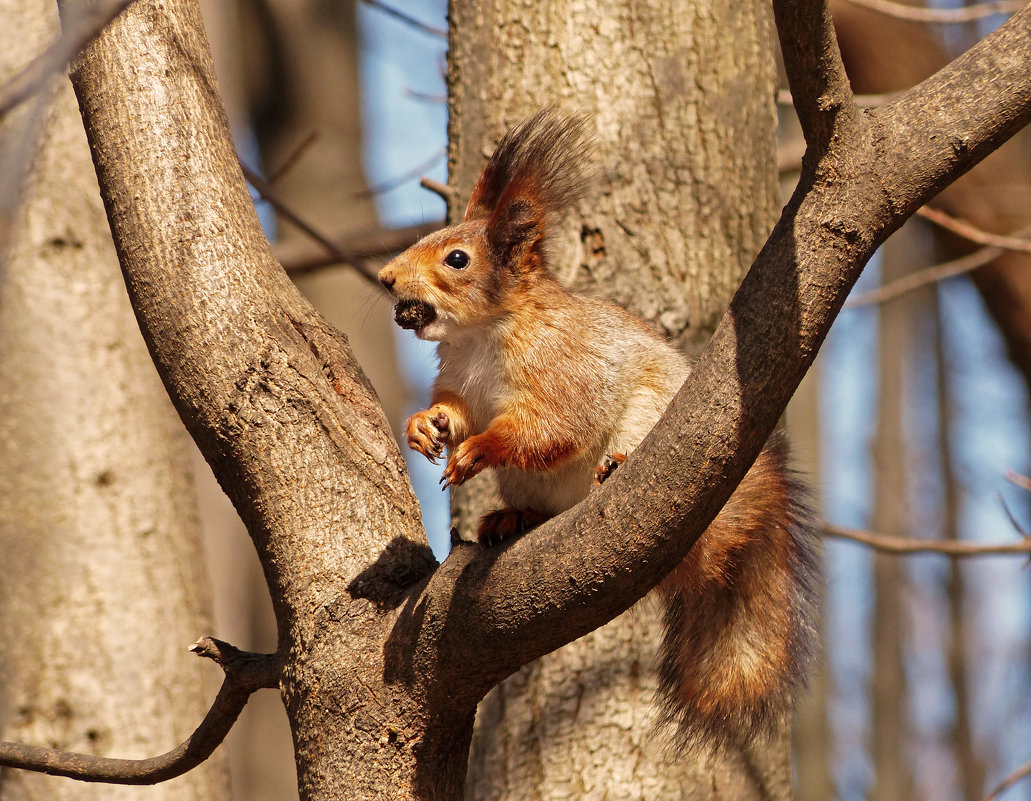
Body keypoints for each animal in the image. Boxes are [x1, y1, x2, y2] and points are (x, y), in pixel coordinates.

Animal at [375, 107, 816, 750]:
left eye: (457, 258)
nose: (385, 278)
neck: (479, 335)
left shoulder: (566, 368)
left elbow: (551, 427)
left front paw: (478, 449)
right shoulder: (458, 381)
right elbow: (453, 412)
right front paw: (423, 428)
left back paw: (617, 467)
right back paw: (513, 518)